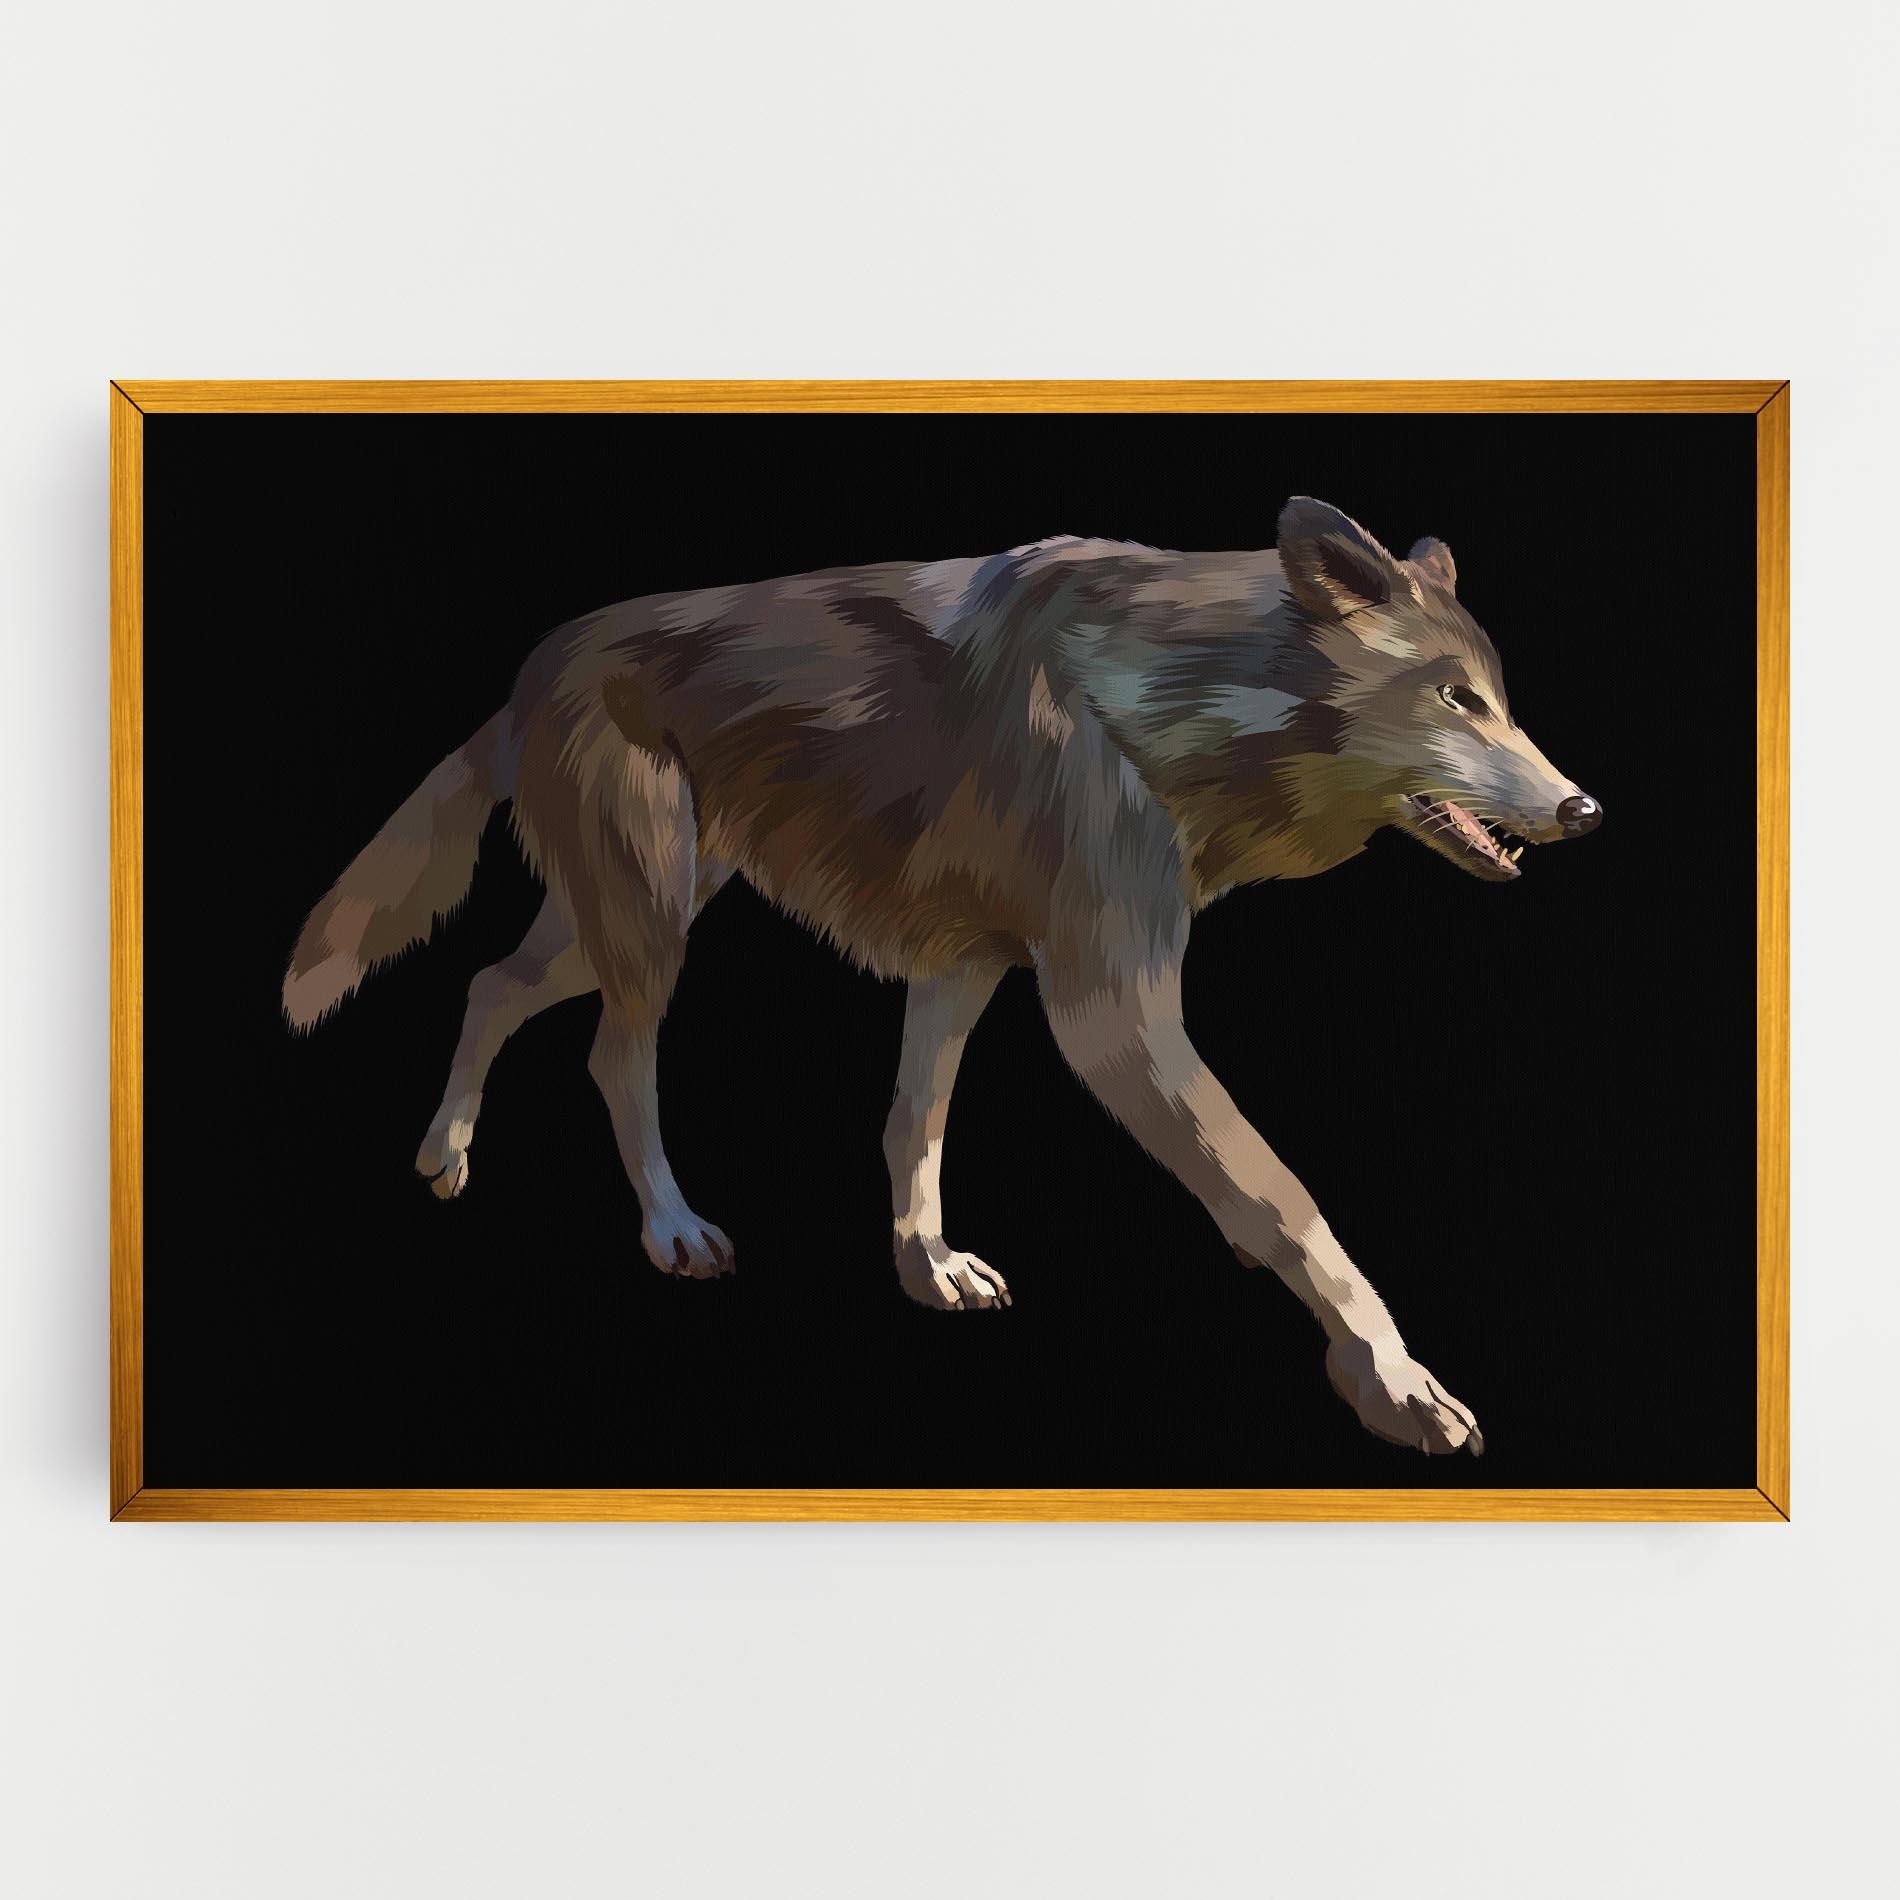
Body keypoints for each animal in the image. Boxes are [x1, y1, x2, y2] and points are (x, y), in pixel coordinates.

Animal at [283, 496, 1600, 1454]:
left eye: (1503, 701)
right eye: (1456, 698)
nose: (1584, 809)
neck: (1167, 705)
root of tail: (534, 658)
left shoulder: (962, 966)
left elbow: (913, 1124)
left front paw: (926, 1269)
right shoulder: (1108, 1013)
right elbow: (1286, 1200)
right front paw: (1395, 1382)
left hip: (620, 919)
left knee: (489, 984)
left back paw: (444, 1155)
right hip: (649, 925)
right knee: (612, 1054)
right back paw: (670, 1228)